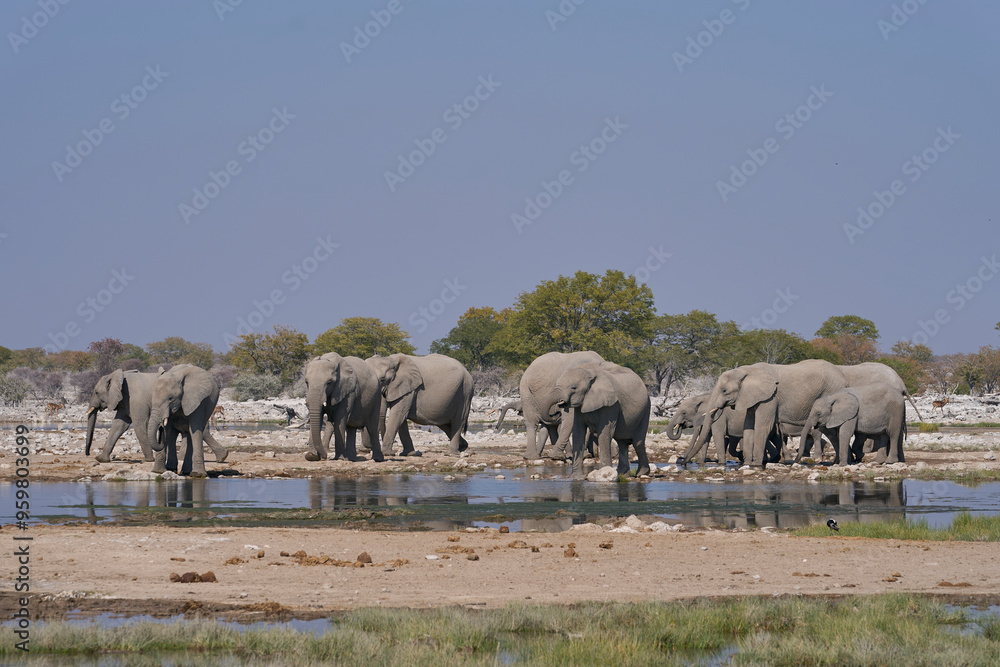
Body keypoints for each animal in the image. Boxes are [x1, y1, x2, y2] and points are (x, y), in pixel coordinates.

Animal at [700, 359, 849, 468]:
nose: (687, 462)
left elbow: (762, 426)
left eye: (724, 390)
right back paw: (838, 462)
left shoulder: (770, 398)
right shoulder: (754, 397)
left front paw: (756, 465)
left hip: (832, 392)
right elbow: (748, 427)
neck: (747, 370)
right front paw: (747, 464)